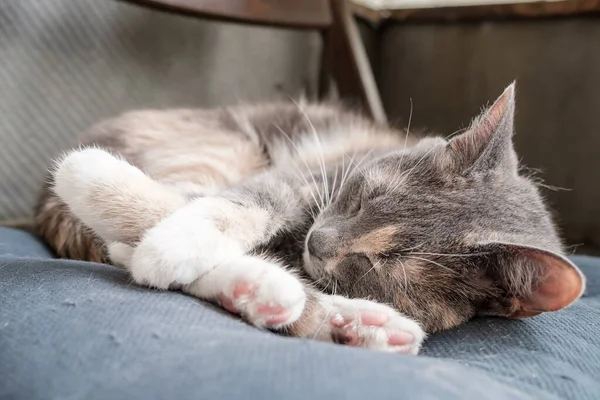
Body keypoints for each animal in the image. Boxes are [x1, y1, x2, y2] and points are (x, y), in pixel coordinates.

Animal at [35, 82, 584, 354]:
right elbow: (251, 199)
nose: (319, 243)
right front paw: (183, 238)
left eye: (380, 264)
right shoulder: (304, 177)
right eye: (361, 197)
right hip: (217, 147)